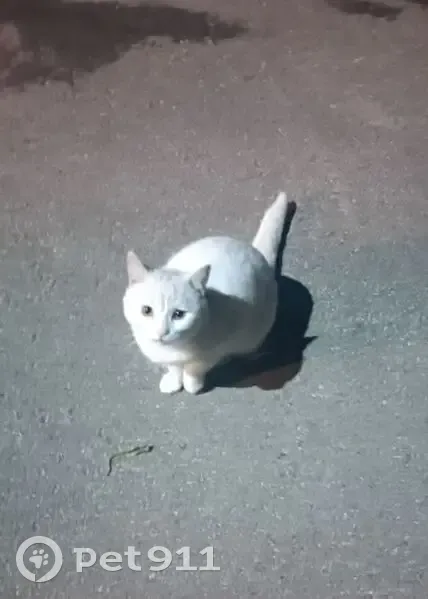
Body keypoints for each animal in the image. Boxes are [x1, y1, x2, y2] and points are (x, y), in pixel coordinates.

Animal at [123, 191, 289, 395]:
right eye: (146, 310)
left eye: (178, 314)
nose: (162, 332)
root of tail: (255, 251)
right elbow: (174, 367)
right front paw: (173, 380)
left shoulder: (218, 347)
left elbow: (196, 367)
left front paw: (192, 383)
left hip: (255, 332)